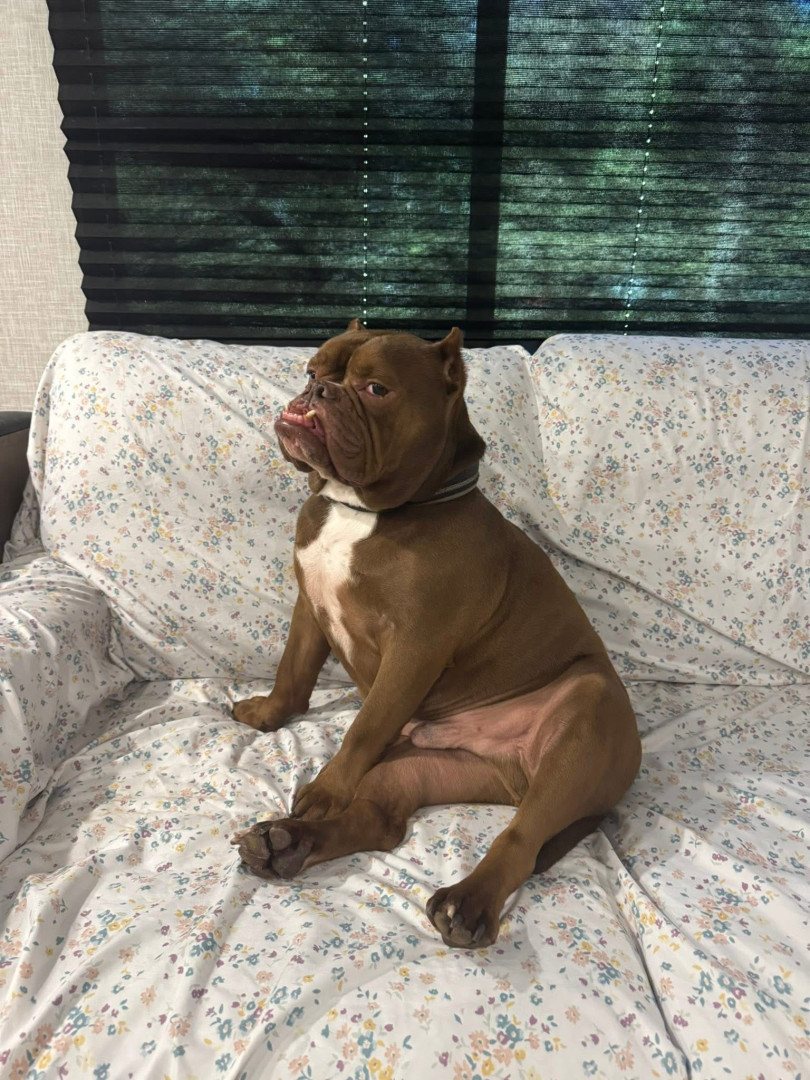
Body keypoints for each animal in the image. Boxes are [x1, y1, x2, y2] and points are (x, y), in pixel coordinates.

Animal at [232, 320, 640, 948]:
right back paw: (285, 844)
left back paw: (467, 901)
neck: (364, 510)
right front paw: (267, 715)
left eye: (376, 389)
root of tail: (513, 768)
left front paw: (324, 790)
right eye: (312, 370)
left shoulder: (414, 648)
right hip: (415, 768)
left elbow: (362, 726)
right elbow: (293, 672)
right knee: (381, 821)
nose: (318, 392)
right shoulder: (310, 605)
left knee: (522, 837)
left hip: (582, 727)